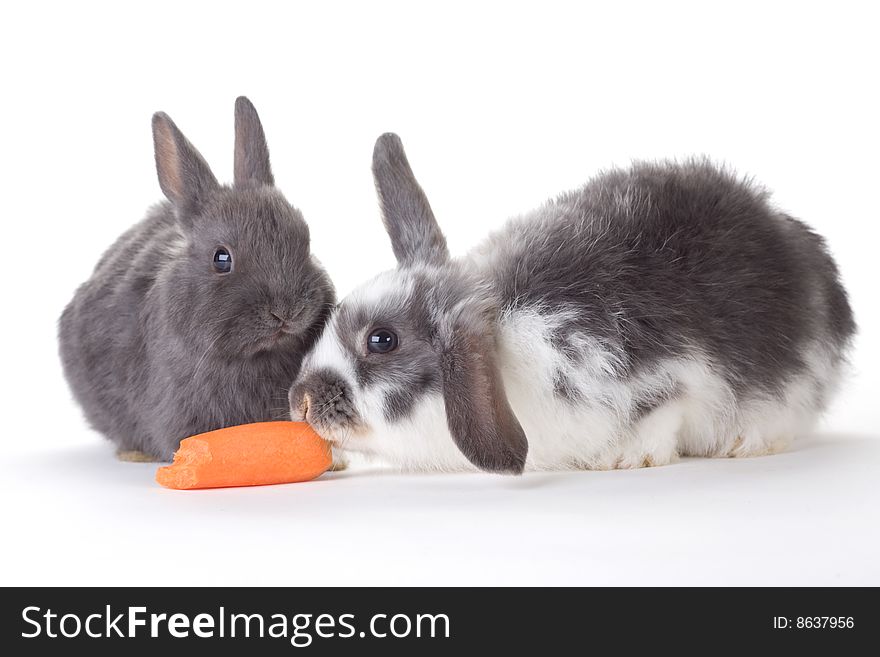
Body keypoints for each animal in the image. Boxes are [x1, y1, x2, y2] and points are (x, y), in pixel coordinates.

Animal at [288, 135, 852, 472]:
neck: (505, 339)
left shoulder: (664, 369)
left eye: (381, 340)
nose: (300, 403)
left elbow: (664, 409)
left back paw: (745, 443)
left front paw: (628, 458)